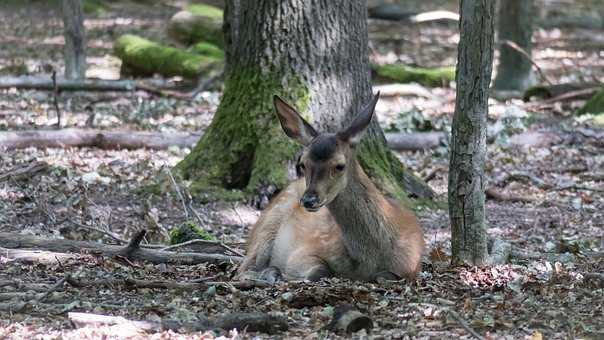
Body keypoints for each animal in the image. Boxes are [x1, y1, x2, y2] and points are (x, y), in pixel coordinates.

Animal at [236, 92, 424, 282]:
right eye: (302, 164)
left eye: (339, 165)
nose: (308, 200)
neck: (369, 260)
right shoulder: (305, 250)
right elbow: (319, 270)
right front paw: (278, 272)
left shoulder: (410, 267)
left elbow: (387, 275)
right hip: (270, 222)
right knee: (242, 269)